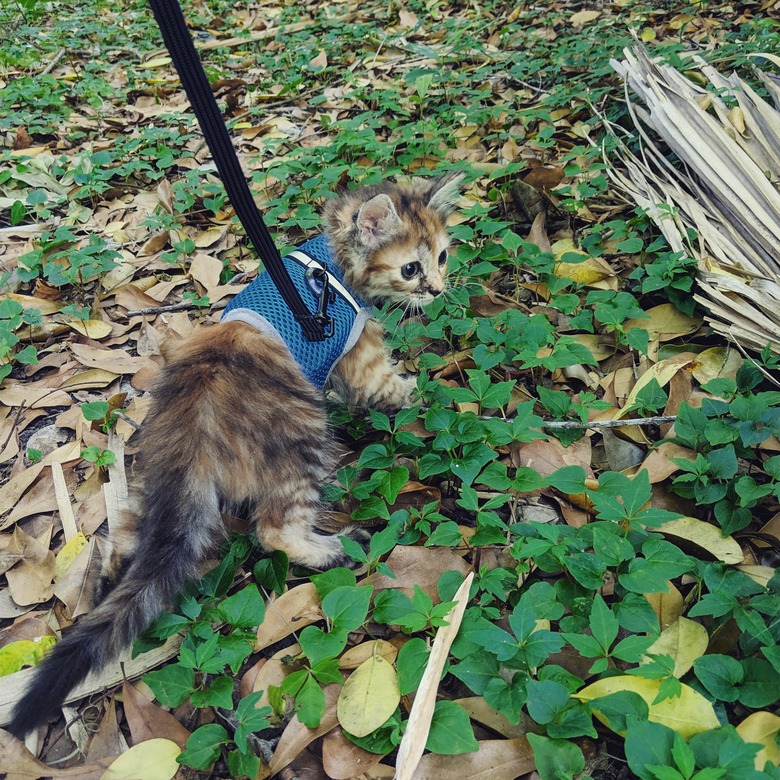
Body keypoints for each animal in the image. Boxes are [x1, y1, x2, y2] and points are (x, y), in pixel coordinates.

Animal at [10, 174, 464, 740]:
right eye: (410, 268)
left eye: (442, 256)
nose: (439, 289)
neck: (330, 266)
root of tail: (193, 424)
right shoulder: (362, 359)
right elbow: (396, 389)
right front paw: (437, 392)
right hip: (302, 439)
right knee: (273, 530)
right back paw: (334, 548)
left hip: (150, 479)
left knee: (124, 541)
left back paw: (109, 580)